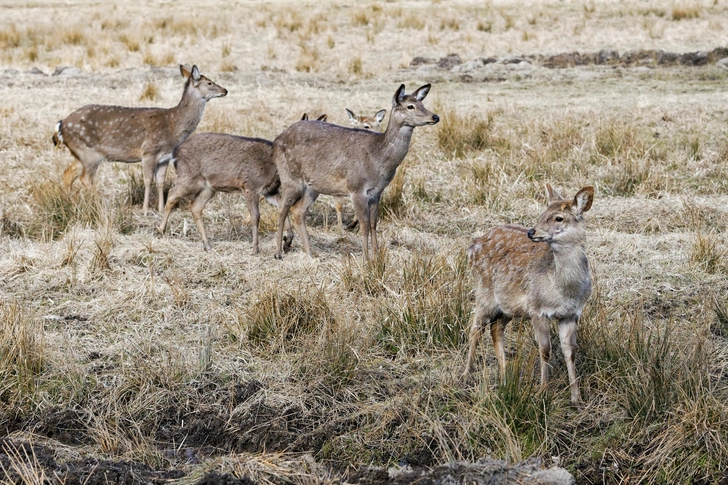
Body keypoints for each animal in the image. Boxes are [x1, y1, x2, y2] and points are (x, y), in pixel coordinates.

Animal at [52, 63, 228, 215]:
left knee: (67, 173)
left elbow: (160, 181)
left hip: (80, 154)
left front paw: (161, 208)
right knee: (85, 178)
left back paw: (68, 203)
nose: (225, 90)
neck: (173, 125)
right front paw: (145, 210)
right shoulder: (149, 151)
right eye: (210, 82)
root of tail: (61, 125)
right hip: (90, 153)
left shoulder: (165, 157)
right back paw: (100, 205)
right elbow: (148, 180)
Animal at [270, 84, 436, 260]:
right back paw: (279, 251)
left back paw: (310, 253)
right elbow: (364, 224)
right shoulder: (356, 188)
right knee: (282, 208)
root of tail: (276, 140)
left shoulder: (377, 192)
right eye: (410, 106)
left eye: (422, 103)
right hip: (289, 177)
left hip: (312, 186)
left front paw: (377, 254)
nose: (435, 117)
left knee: (298, 210)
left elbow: (373, 223)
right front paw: (366, 258)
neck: (379, 158)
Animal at [464, 184, 596, 404]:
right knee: (475, 328)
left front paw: (577, 399)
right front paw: (543, 392)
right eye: (542, 213)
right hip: (484, 293)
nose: (532, 231)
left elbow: (570, 352)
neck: (564, 290)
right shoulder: (537, 308)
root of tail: (473, 244)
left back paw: (506, 378)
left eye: (558, 218)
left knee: (495, 329)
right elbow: (545, 350)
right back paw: (466, 374)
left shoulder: (572, 313)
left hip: (508, 307)